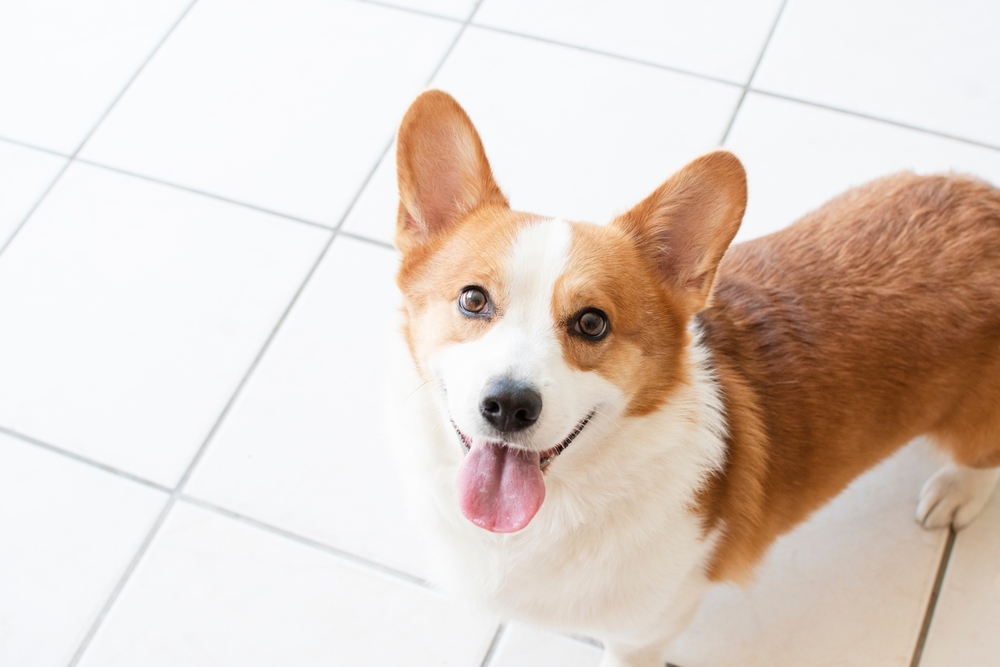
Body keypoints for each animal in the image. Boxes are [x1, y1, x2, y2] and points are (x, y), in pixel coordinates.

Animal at [386, 90, 1000, 667]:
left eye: (592, 323)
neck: (561, 503)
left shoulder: (641, 635)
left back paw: (956, 492)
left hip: (973, 425)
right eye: (473, 299)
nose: (509, 406)